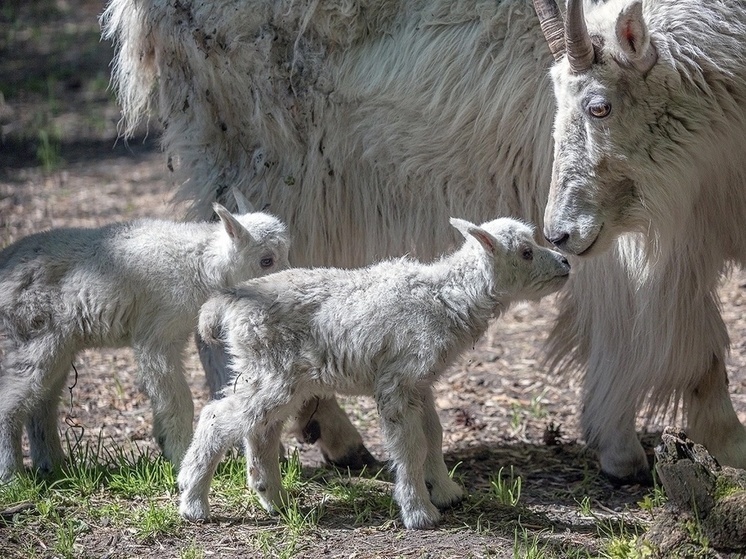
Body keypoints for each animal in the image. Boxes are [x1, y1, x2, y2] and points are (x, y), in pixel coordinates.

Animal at [101, 0, 744, 484]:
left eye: (600, 105)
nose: (560, 233)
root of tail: (137, 17)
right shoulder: (658, 233)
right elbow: (691, 340)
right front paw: (651, 452)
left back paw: (331, 437)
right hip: (255, 159)